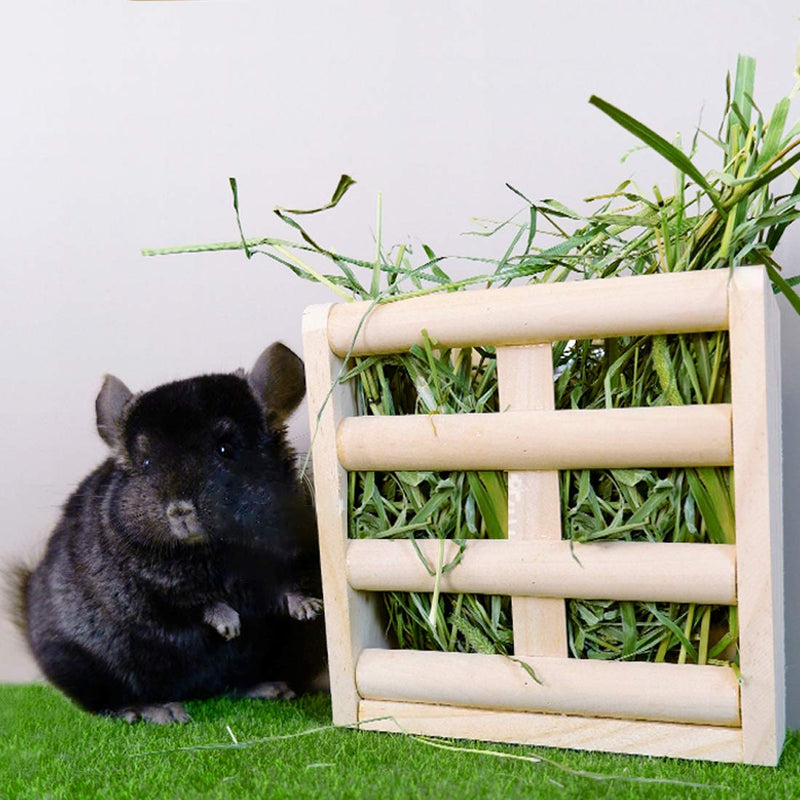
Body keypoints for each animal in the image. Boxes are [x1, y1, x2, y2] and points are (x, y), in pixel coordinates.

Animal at [10, 342, 327, 723]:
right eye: (146, 464)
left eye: (226, 449)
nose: (180, 511)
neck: (217, 552)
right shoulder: (146, 593)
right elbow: (192, 603)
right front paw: (229, 624)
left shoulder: (292, 550)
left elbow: (284, 587)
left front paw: (307, 607)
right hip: (84, 666)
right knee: (105, 704)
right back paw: (156, 711)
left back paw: (270, 688)